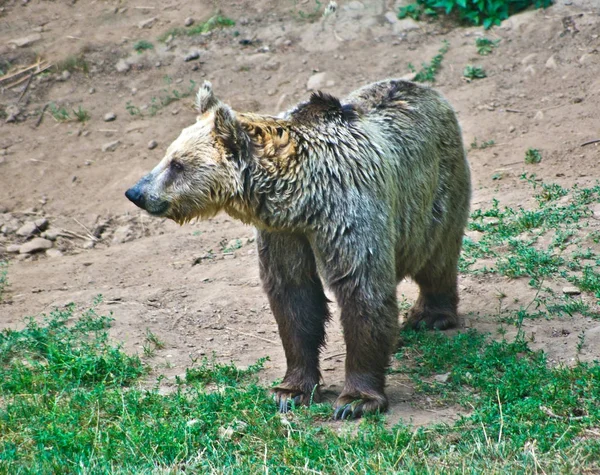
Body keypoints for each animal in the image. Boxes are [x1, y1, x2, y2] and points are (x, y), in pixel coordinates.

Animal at [126, 79, 472, 420]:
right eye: (167, 156)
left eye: (177, 164)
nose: (136, 192)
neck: (303, 200)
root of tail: (425, 88)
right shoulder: (284, 234)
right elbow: (294, 298)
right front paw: (289, 391)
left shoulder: (349, 212)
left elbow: (361, 288)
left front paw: (356, 400)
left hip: (432, 193)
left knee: (437, 255)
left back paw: (431, 315)